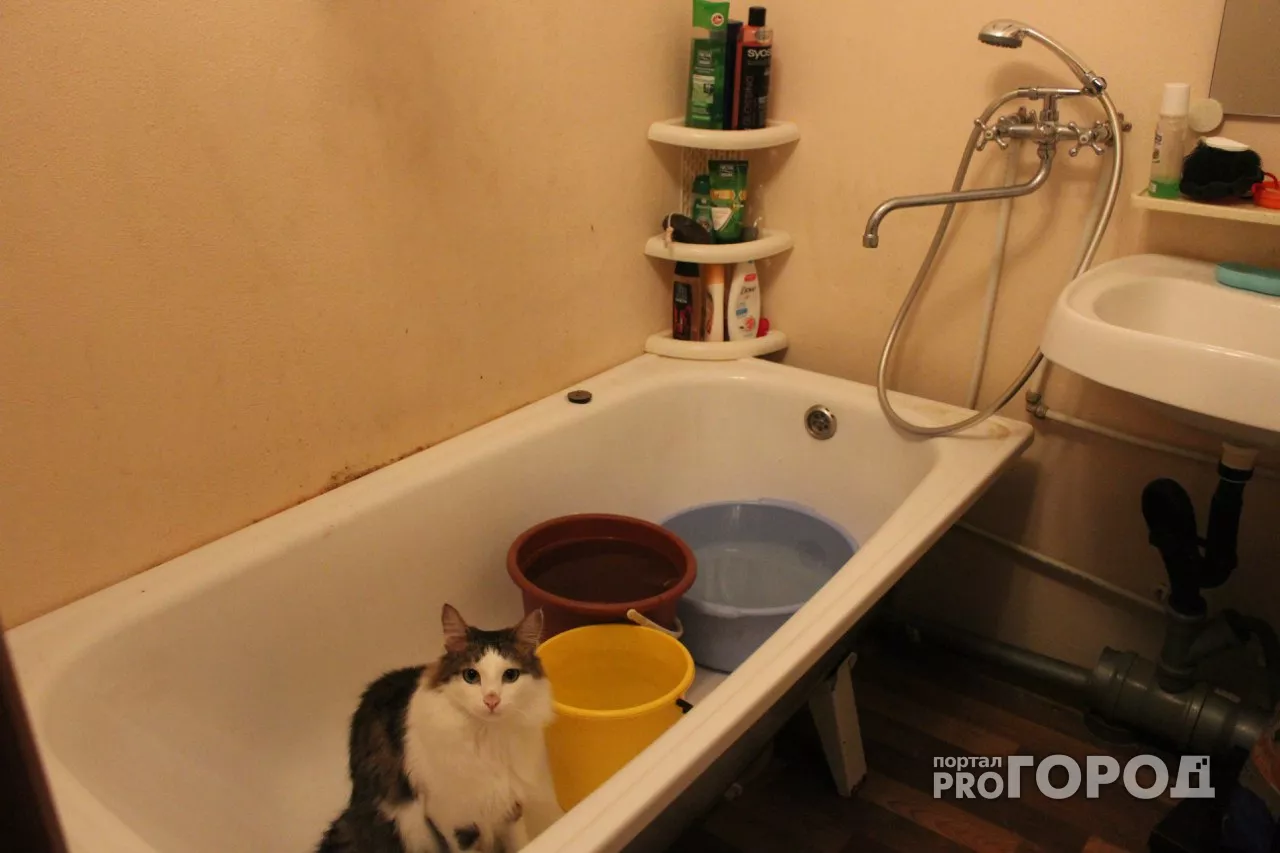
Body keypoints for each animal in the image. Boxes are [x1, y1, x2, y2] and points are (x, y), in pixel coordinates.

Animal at [316, 604, 560, 853]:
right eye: (471, 675)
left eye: (510, 675)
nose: (491, 700)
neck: (488, 740)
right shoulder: (451, 816)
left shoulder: (510, 804)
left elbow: (520, 842)